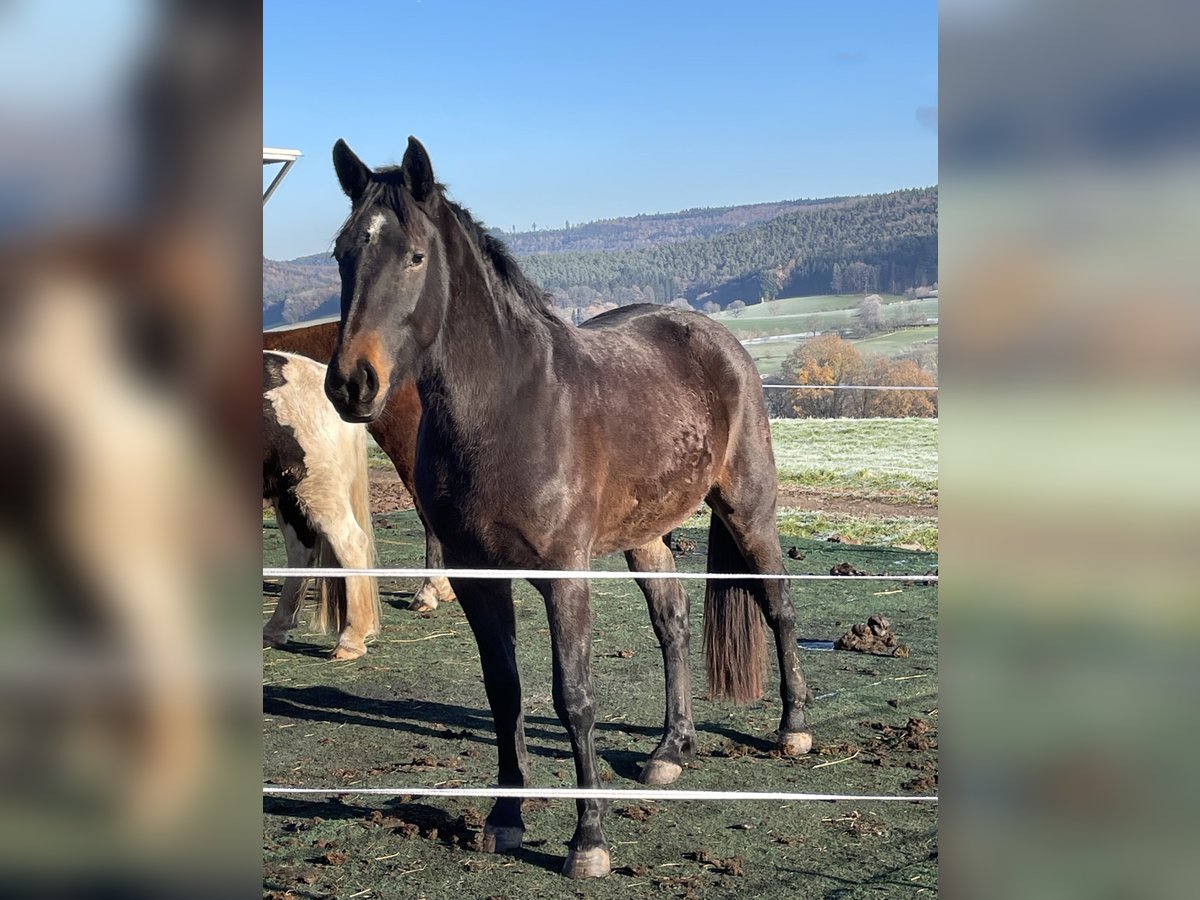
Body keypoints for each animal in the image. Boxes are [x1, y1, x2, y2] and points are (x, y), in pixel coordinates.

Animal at [321, 137, 813, 879]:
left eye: (414, 256)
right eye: (342, 253)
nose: (352, 383)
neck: (508, 406)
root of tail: (715, 337)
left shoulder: (564, 575)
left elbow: (573, 697)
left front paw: (589, 841)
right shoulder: (475, 576)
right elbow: (504, 691)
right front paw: (504, 818)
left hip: (747, 508)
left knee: (778, 603)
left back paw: (792, 729)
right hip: (646, 535)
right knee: (672, 623)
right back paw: (671, 750)